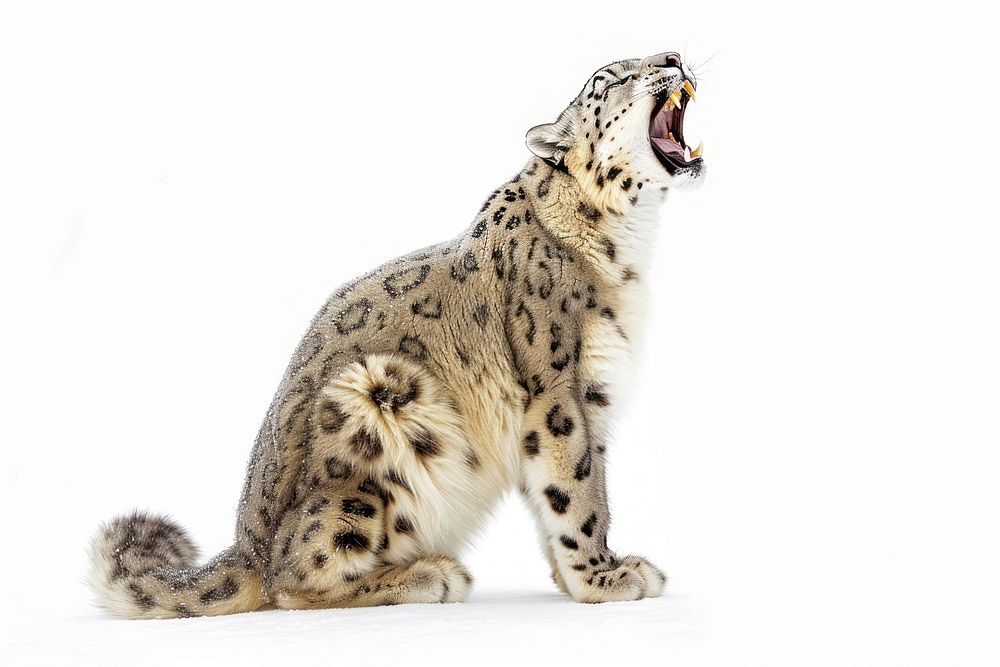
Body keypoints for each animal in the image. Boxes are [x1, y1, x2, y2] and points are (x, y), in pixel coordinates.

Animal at [88, 51, 705, 618]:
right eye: (612, 77)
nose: (673, 56)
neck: (631, 243)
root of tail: (247, 543)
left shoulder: (593, 397)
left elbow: (569, 488)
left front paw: (576, 576)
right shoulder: (558, 391)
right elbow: (575, 490)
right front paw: (603, 579)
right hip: (372, 409)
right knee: (293, 581)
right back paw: (427, 576)